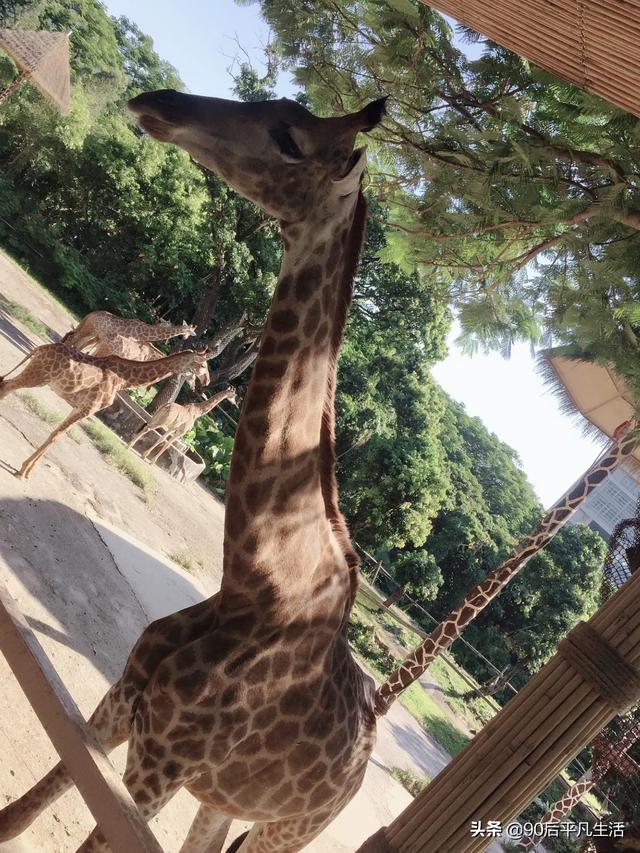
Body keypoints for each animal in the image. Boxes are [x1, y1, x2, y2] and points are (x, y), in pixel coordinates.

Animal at [0, 343, 209, 479]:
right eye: (203, 365)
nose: (206, 382)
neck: (123, 379)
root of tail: (40, 348)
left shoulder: (81, 407)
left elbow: (57, 435)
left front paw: (26, 471)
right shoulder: (89, 408)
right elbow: (56, 435)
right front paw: (23, 471)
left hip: (35, 374)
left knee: (4, 384)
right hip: (38, 376)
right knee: (6, 385)